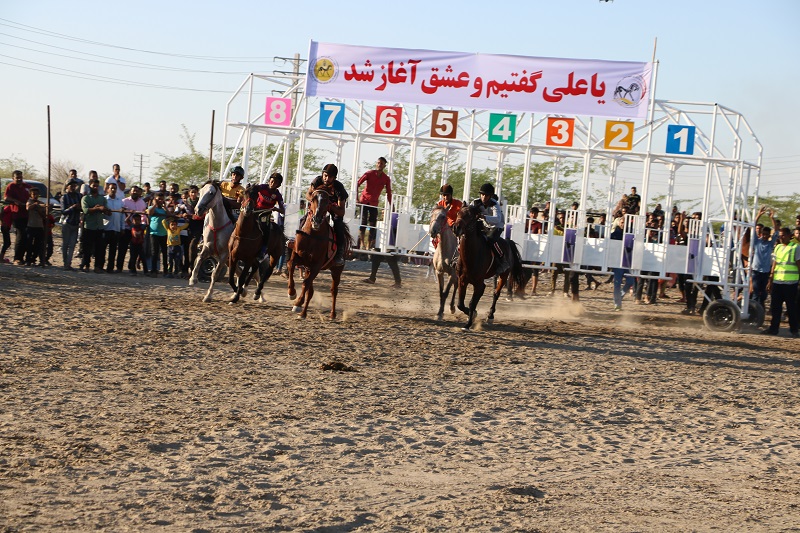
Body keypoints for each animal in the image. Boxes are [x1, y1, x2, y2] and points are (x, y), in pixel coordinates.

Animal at [286, 189, 352, 318]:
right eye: (312, 199)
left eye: (327, 202)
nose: (316, 220)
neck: (312, 235)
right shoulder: (298, 256)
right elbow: (290, 265)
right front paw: (292, 293)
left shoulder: (317, 265)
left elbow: (306, 283)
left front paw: (298, 301)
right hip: (308, 268)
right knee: (311, 292)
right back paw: (303, 313)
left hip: (336, 270)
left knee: (334, 290)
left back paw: (332, 314)